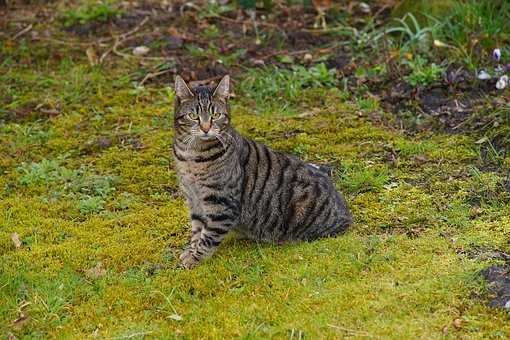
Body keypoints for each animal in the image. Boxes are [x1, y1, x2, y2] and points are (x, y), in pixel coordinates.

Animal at [171, 75, 350, 268]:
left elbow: (209, 236)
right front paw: (191, 250)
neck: (191, 155)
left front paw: (195, 258)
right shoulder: (193, 198)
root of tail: (347, 216)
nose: (205, 128)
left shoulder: (220, 201)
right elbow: (197, 229)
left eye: (215, 115)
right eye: (193, 116)